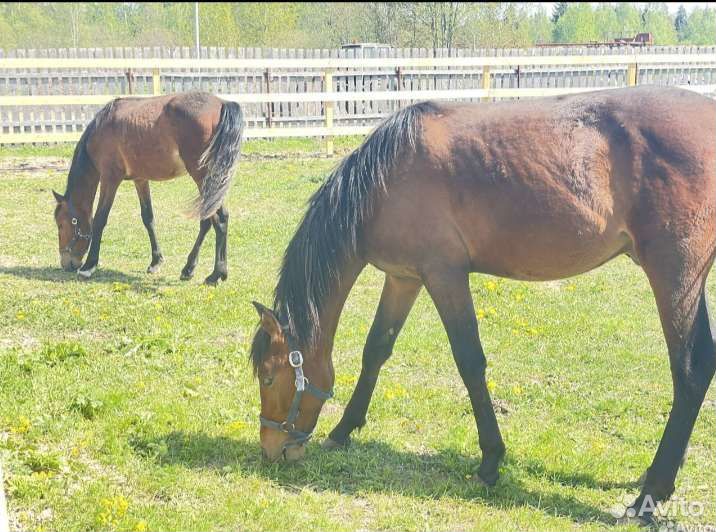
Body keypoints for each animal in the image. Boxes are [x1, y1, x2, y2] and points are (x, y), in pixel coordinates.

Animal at [52, 92, 244, 285]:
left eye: (61, 224)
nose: (66, 263)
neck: (102, 128)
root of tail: (223, 103)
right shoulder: (140, 180)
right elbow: (148, 218)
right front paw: (155, 261)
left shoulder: (110, 178)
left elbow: (100, 219)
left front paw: (89, 266)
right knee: (211, 219)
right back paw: (191, 268)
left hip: (203, 176)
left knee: (218, 219)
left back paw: (216, 273)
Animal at [249, 86, 716, 524]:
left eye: (269, 377)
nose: (271, 449)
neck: (385, 180)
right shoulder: (403, 278)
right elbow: (376, 350)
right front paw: (345, 429)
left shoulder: (445, 276)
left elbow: (470, 362)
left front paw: (491, 461)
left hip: (675, 274)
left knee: (691, 370)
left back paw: (649, 496)